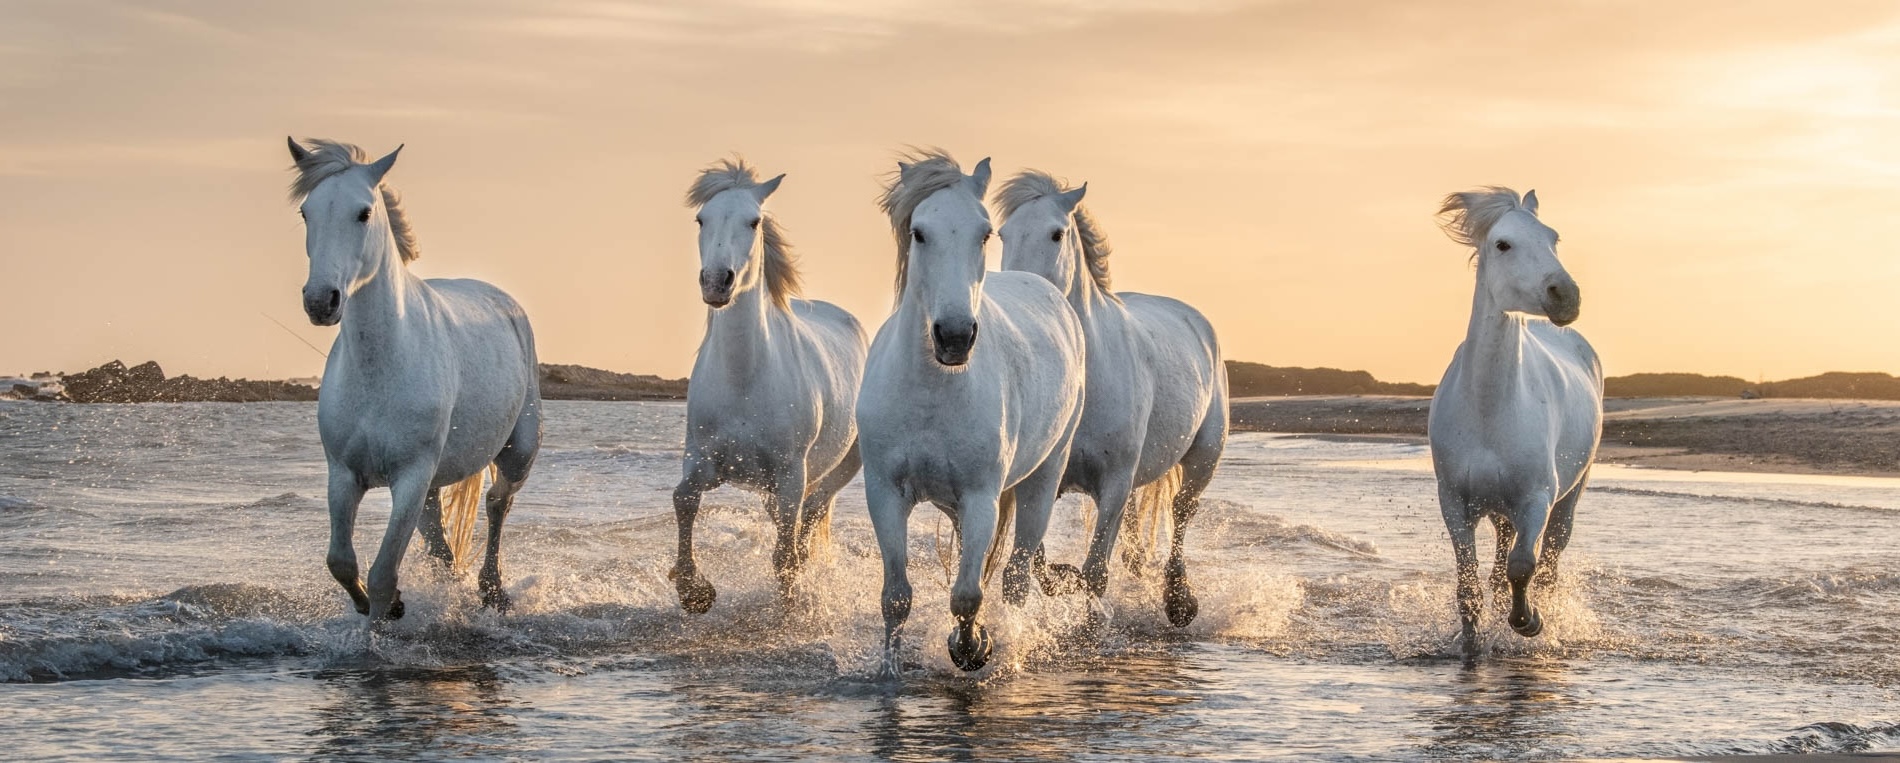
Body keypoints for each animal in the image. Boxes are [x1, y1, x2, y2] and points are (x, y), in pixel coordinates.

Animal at [286, 137, 542, 624]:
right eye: (306, 213)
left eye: (364, 213)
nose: (320, 301)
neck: (381, 368)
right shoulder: (343, 474)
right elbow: (341, 561)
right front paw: (382, 606)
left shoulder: (411, 476)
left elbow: (384, 573)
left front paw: (383, 619)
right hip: (433, 484)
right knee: (442, 543)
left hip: (518, 453)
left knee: (497, 504)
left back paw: (493, 592)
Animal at [669, 158, 867, 613]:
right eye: (701, 218)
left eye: (754, 221)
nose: (716, 282)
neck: (744, 380)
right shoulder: (703, 460)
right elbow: (683, 498)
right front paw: (693, 590)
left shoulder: (791, 474)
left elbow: (785, 555)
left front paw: (789, 608)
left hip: (837, 469)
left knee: (808, 520)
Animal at [857, 150, 1087, 672]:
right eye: (919, 232)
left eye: (985, 233)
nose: (955, 336)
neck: (932, 391)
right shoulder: (885, 494)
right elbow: (895, 596)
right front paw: (888, 669)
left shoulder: (982, 497)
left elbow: (967, 595)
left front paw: (972, 646)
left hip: (1043, 478)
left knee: (1016, 576)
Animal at [993, 170, 1228, 627]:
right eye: (1003, 234)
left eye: (1056, 233)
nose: (1020, 294)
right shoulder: (1046, 477)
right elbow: (1042, 563)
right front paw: (1064, 580)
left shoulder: (1115, 483)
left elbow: (1096, 571)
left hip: (1203, 459)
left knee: (1181, 513)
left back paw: (1179, 601)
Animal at [1427, 187, 1602, 660]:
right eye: (1503, 244)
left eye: (1553, 238)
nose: (1566, 295)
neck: (1490, 411)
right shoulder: (1455, 502)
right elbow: (1469, 585)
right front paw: (1471, 644)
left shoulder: (1537, 498)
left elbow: (1523, 565)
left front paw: (1528, 622)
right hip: (1501, 511)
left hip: (1568, 497)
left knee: (1549, 560)